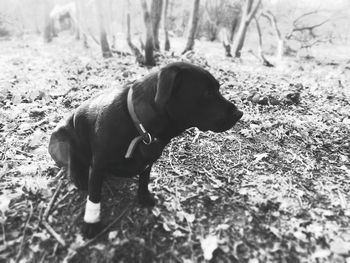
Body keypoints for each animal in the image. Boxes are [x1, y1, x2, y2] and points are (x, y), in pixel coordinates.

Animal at [47, 62, 243, 239]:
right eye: (208, 93)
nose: (240, 113)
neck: (141, 128)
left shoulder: (148, 160)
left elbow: (144, 179)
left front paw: (143, 197)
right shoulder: (98, 165)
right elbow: (94, 196)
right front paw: (91, 223)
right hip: (61, 138)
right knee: (72, 161)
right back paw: (79, 177)